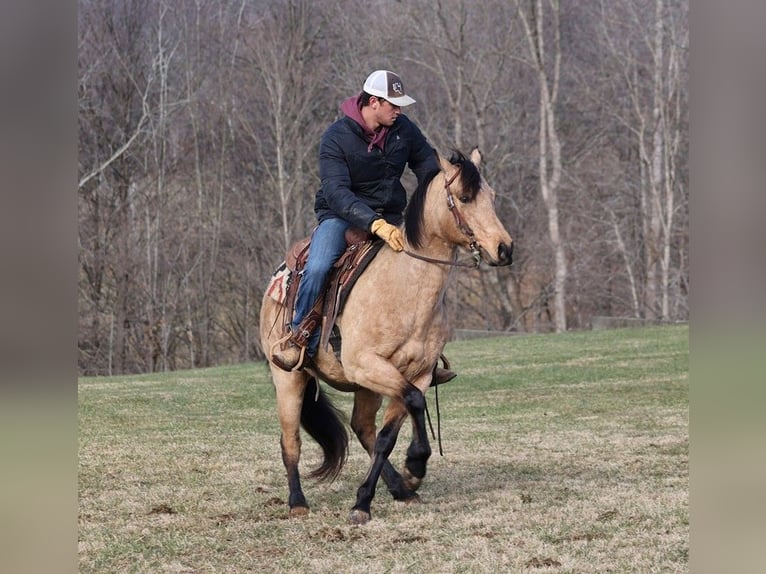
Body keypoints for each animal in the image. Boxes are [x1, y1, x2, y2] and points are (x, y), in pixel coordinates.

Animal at [260, 148, 516, 528]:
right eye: (465, 197)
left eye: (493, 197)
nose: (504, 249)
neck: (404, 291)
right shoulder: (368, 366)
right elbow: (414, 403)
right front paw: (414, 465)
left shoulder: (415, 373)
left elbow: (388, 434)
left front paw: (377, 494)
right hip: (289, 377)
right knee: (290, 440)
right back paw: (297, 502)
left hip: (364, 388)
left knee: (363, 428)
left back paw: (399, 488)